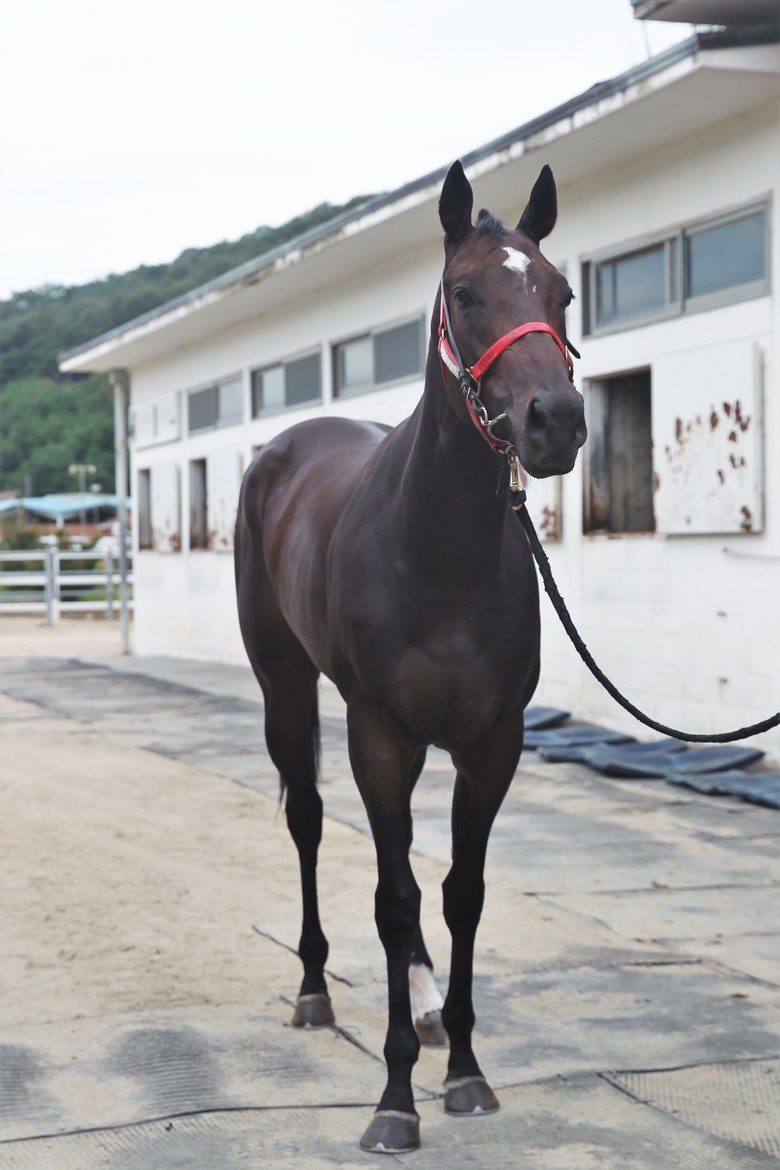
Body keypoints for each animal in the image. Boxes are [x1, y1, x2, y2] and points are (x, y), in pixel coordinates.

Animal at [234, 159, 587, 1153]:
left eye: (561, 292)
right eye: (464, 293)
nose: (556, 421)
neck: (438, 549)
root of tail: (287, 443)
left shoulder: (492, 739)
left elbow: (459, 890)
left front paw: (464, 1068)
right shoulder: (379, 731)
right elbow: (393, 898)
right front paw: (394, 1098)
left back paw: (427, 1007)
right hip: (285, 687)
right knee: (311, 822)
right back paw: (315, 989)